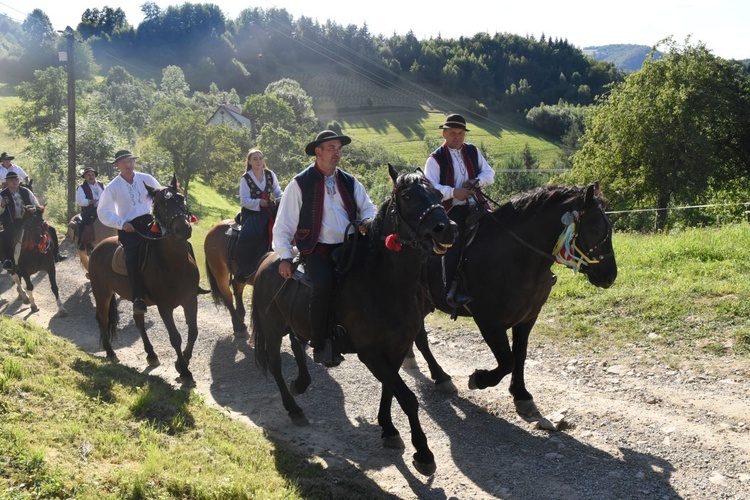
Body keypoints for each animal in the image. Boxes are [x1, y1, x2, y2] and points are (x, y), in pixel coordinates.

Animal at [88, 174, 201, 388]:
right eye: (160, 206)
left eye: (181, 198)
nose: (183, 229)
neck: (175, 264)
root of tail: (98, 248)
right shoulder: (165, 306)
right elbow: (175, 337)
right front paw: (185, 372)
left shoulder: (191, 300)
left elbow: (193, 332)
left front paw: (182, 362)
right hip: (102, 292)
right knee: (102, 319)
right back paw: (111, 353)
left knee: (138, 321)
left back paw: (151, 354)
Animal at [251, 165, 458, 476]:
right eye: (408, 196)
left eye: (437, 192)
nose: (448, 228)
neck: (382, 284)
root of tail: (270, 259)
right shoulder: (370, 353)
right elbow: (407, 398)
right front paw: (422, 452)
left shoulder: (396, 350)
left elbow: (390, 390)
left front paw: (388, 429)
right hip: (273, 329)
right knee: (275, 364)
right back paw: (294, 408)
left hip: (292, 324)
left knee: (298, 344)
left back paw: (302, 381)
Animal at [414, 182, 620, 416]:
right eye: (595, 230)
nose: (610, 276)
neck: (514, 259)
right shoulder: (489, 323)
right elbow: (507, 361)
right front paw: (479, 379)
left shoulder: (527, 318)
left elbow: (519, 355)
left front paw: (521, 394)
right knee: (420, 338)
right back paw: (440, 376)